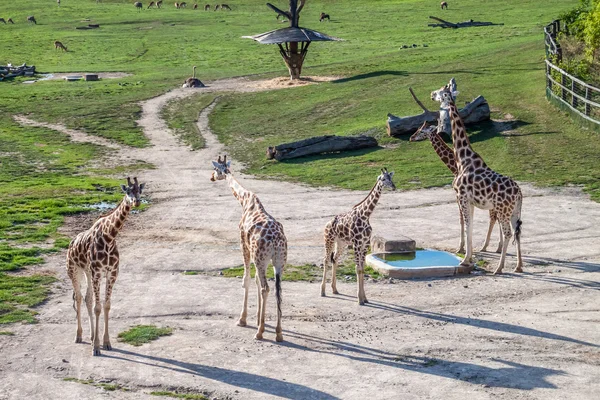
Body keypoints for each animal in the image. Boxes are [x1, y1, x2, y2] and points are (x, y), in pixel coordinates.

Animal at [66, 177, 145, 354]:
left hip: (87, 272)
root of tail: (71, 243)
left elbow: (107, 305)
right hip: (74, 270)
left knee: (87, 297)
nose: (136, 202)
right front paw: (96, 347)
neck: (110, 237)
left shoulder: (112, 273)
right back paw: (78, 336)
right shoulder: (97, 273)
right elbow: (98, 307)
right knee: (79, 298)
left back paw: (90, 336)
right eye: (127, 191)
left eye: (140, 190)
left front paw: (106, 342)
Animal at [210, 155, 288, 342]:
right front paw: (260, 319)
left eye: (215, 169)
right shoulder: (259, 258)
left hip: (262, 259)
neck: (245, 200)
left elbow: (246, 280)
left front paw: (243, 319)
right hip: (278, 261)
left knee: (266, 288)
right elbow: (257, 281)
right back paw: (278, 333)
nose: (211, 177)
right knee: (277, 290)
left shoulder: (243, 245)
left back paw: (259, 333)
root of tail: (277, 242)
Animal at [322, 168, 396, 304]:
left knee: (334, 258)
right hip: (328, 240)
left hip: (341, 243)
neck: (365, 215)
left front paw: (364, 298)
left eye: (391, 177)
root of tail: (327, 223)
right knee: (326, 260)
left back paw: (334, 289)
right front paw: (359, 299)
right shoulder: (357, 243)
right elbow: (357, 268)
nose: (393, 186)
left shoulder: (365, 243)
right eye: (383, 179)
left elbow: (362, 269)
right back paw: (323, 291)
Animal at [410, 122, 504, 253]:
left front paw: (461, 247)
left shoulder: (458, 196)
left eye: (421, 131)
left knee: (495, 219)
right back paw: (497, 247)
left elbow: (461, 220)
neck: (455, 167)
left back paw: (487, 247)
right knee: (497, 219)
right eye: (418, 128)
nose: (411, 137)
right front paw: (464, 247)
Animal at [428, 85, 524, 276]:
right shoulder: (470, 201)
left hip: (503, 210)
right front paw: (469, 257)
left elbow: (467, 226)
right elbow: (470, 226)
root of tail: (519, 193)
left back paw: (499, 268)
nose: (431, 94)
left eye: (441, 92)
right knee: (517, 232)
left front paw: (465, 259)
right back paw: (518, 266)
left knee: (508, 233)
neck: (462, 158)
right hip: (515, 211)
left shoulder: (462, 197)